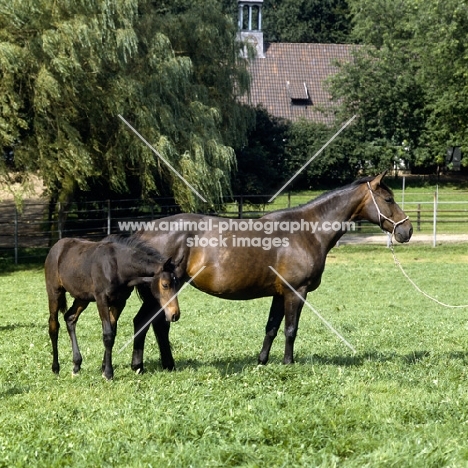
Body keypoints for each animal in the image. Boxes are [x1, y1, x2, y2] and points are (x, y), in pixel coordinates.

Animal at [45, 236, 181, 378]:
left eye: (177, 284)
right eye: (165, 285)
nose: (175, 314)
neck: (117, 266)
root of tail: (55, 247)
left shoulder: (119, 302)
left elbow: (112, 332)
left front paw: (104, 368)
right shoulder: (102, 300)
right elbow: (108, 334)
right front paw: (108, 374)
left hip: (82, 297)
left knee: (70, 318)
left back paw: (76, 366)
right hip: (54, 292)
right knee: (53, 325)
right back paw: (55, 368)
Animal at [130, 173, 412, 372]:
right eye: (388, 199)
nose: (406, 230)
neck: (307, 231)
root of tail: (144, 231)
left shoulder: (279, 293)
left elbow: (271, 328)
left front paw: (262, 361)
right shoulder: (296, 292)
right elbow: (290, 329)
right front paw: (288, 363)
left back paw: (164, 364)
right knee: (145, 322)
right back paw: (140, 366)